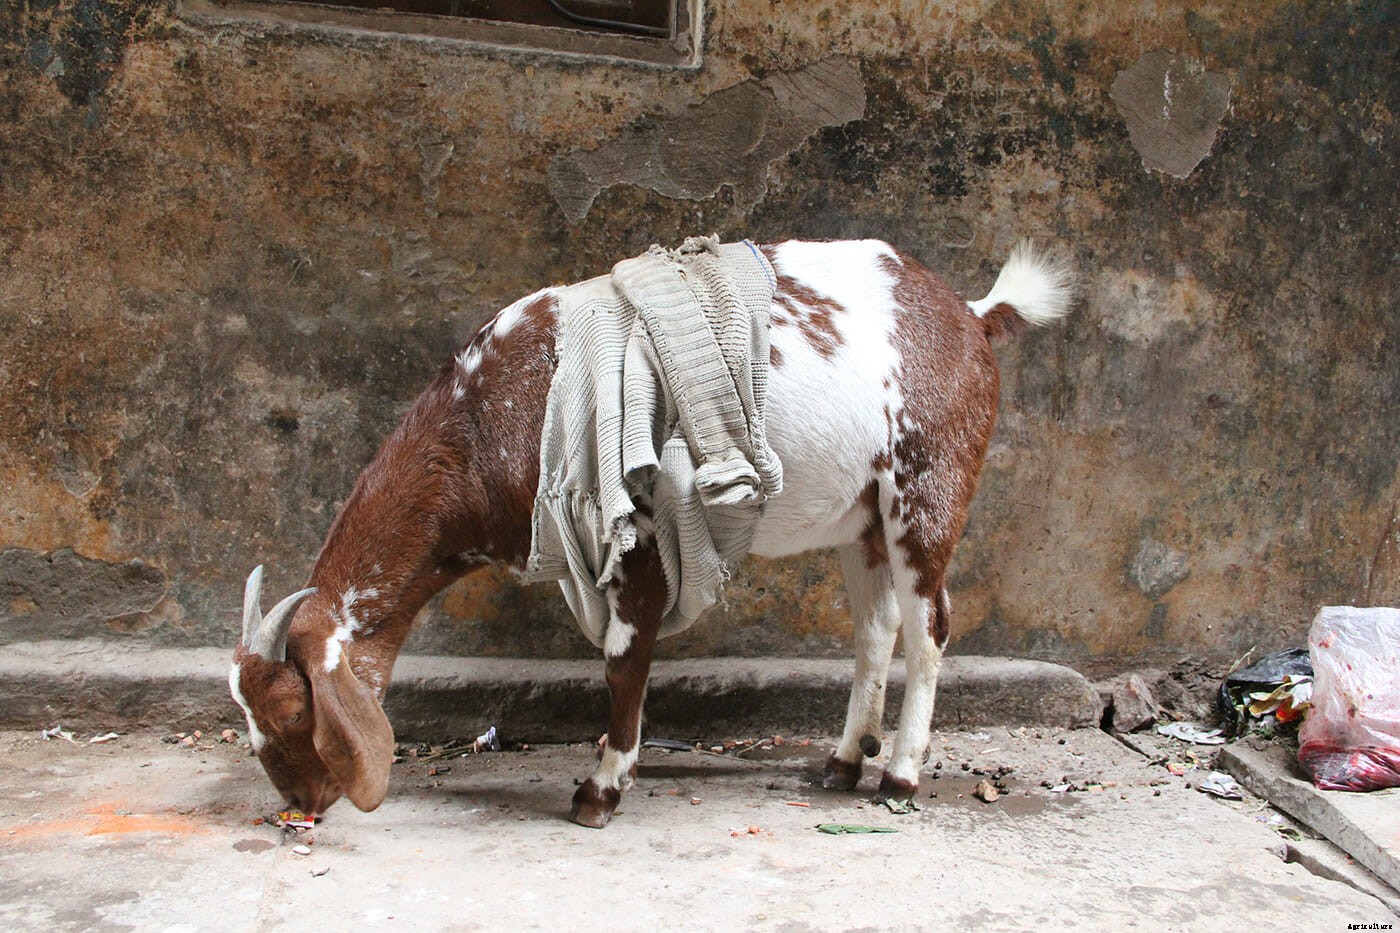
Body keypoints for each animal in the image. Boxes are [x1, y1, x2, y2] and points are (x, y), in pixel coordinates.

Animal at [229, 239, 1072, 828]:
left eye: (293, 710)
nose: (300, 801)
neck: (493, 413)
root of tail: (972, 312)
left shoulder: (635, 534)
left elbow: (622, 662)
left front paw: (601, 788)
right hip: (860, 514)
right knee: (876, 629)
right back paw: (840, 763)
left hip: (927, 486)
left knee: (929, 628)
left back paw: (899, 773)